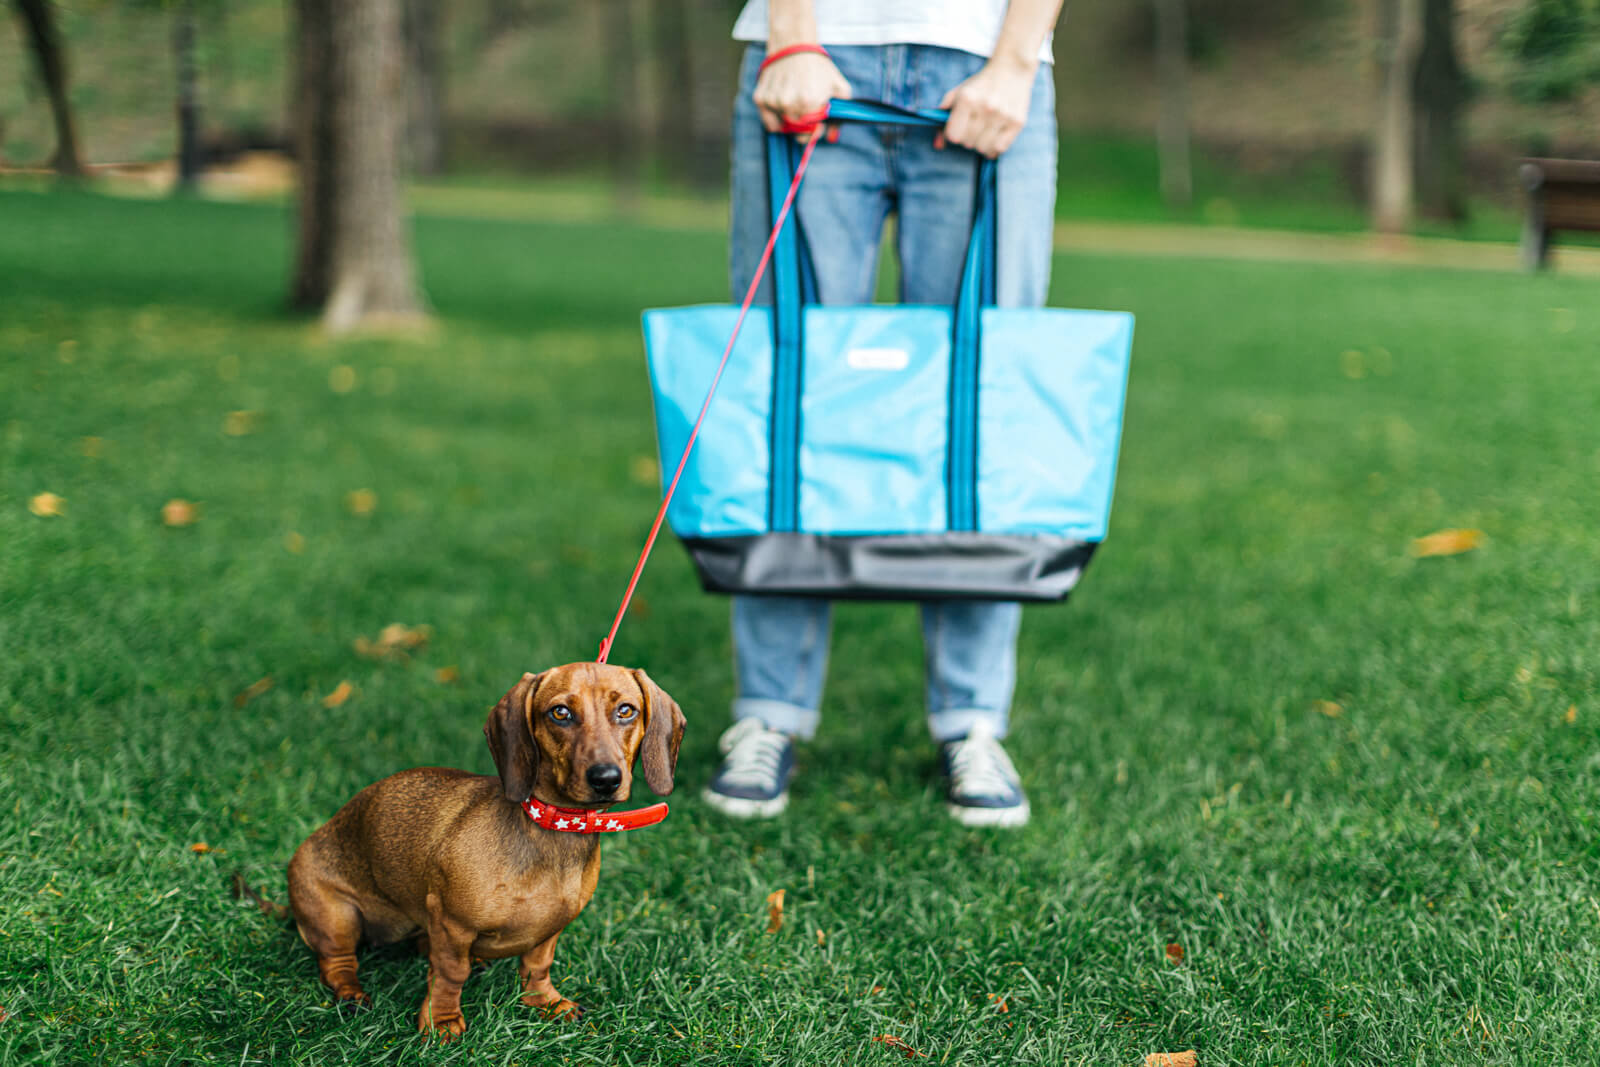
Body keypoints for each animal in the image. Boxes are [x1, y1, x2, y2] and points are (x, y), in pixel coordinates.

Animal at [286, 662, 681, 1036]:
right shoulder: (451, 923)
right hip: (336, 918)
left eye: (626, 710)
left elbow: (537, 966)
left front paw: (545, 1003)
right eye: (560, 713)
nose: (606, 779)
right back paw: (352, 994)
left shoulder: (551, 929)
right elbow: (450, 973)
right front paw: (441, 1022)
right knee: (337, 964)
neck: (552, 831)